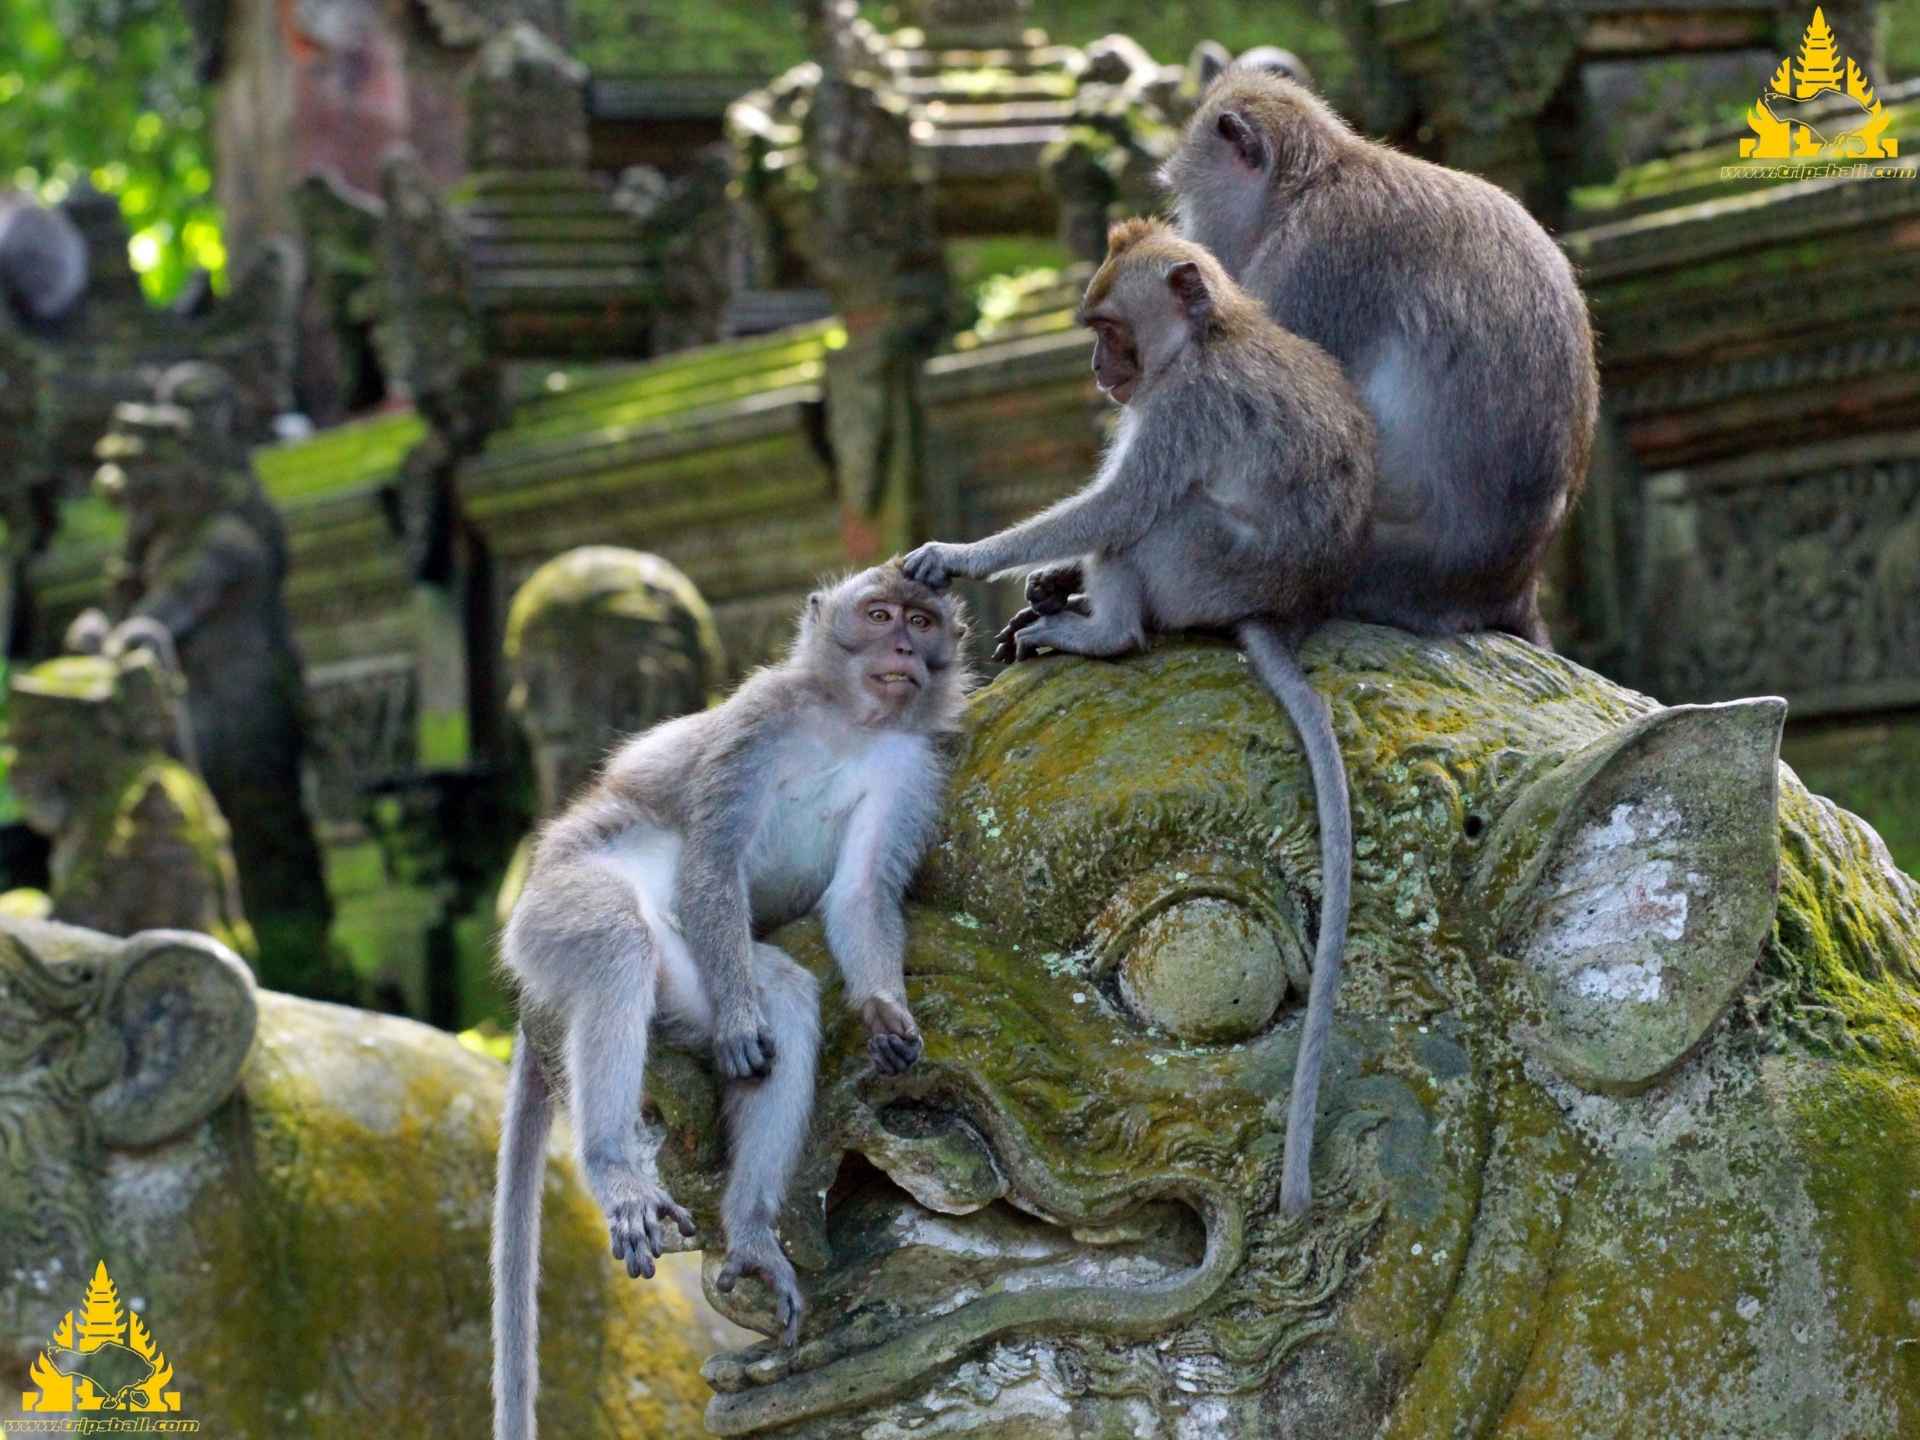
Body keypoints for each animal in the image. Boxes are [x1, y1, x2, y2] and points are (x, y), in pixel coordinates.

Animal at [491, 565, 970, 1440]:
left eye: (921, 621)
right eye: (879, 613)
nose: (900, 649)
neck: (848, 723)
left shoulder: (913, 767)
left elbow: (859, 895)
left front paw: (885, 1014)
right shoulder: (758, 721)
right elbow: (715, 857)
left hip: (695, 969)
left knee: (782, 994)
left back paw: (749, 1232)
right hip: (553, 913)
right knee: (618, 943)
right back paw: (615, 1168)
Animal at [902, 219, 1373, 1217]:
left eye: (1111, 327)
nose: (1096, 366)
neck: (1208, 338)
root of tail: (1278, 609)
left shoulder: (1180, 409)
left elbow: (1118, 504)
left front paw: (963, 556)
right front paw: (1043, 577)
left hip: (1200, 566)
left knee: (1149, 519)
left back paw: (1103, 631)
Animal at [1160, 67, 1599, 647]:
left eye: (1186, 197)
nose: (1191, 239)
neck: (1309, 185)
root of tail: (1512, 586)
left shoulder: (1312, 262)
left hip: (1373, 566)